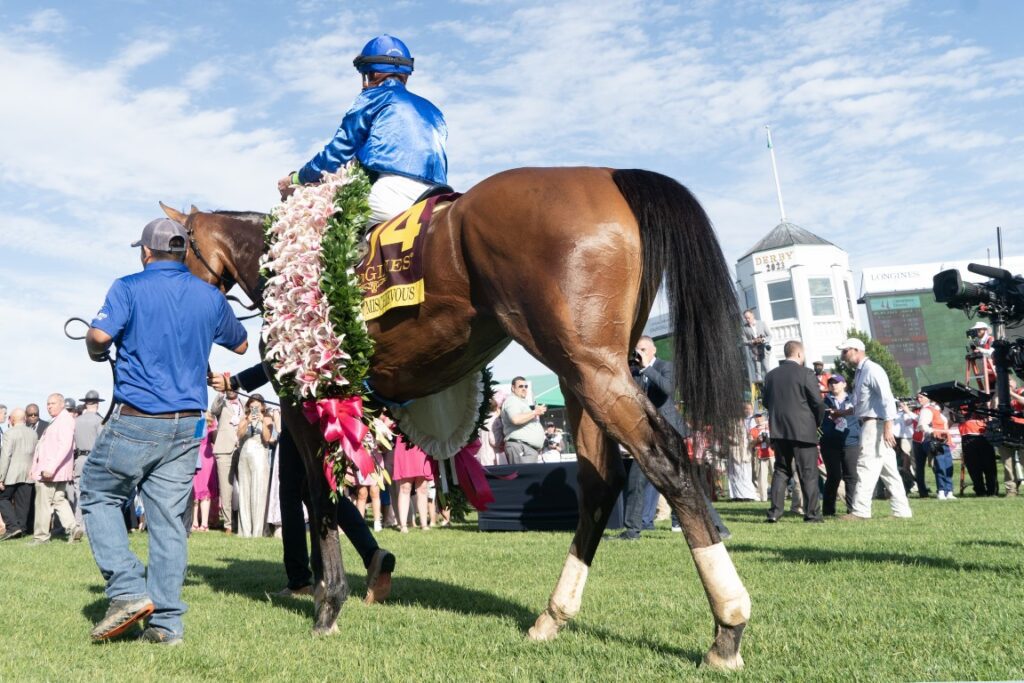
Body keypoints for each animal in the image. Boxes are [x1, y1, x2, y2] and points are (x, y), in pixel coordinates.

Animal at [163, 167, 749, 671]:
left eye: (175, 246)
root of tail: (608, 175)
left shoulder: (303, 399)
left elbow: (320, 495)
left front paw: (329, 603)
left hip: (593, 367)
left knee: (667, 460)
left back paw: (727, 628)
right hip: (581, 373)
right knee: (601, 483)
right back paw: (552, 616)